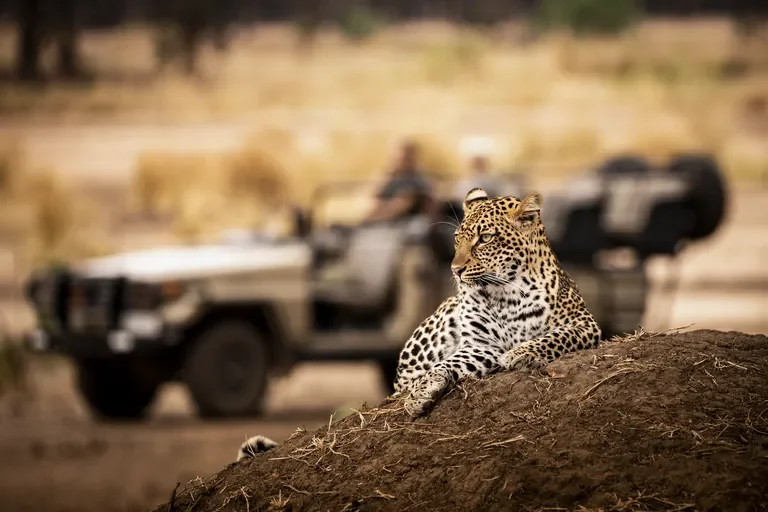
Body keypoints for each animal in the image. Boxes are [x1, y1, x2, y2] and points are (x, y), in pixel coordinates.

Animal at [393, 187, 601, 417]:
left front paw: (519, 353)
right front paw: (422, 390)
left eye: (485, 238)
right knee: (402, 381)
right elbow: (445, 364)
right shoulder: (481, 345)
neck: (506, 295)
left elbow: (555, 337)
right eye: (457, 239)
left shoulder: (584, 323)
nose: (455, 270)